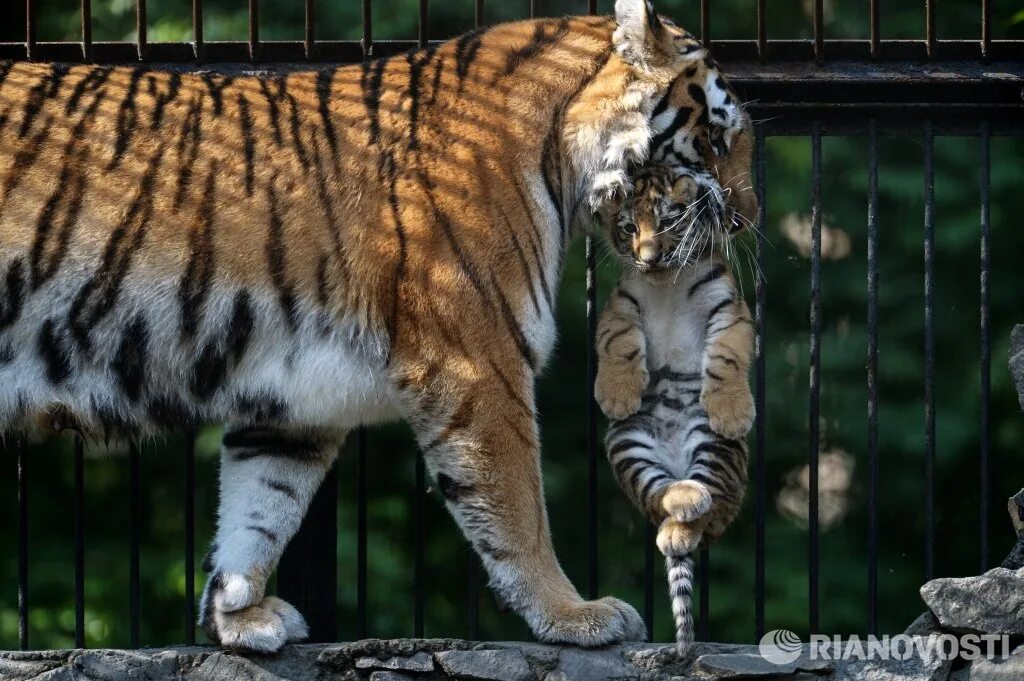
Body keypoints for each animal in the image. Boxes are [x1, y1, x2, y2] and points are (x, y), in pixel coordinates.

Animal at [0, 0, 753, 647]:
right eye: (717, 137)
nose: (746, 220)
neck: (559, 159)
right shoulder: (480, 363)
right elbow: (517, 507)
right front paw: (574, 614)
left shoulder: (292, 399)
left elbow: (261, 508)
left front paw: (238, 615)